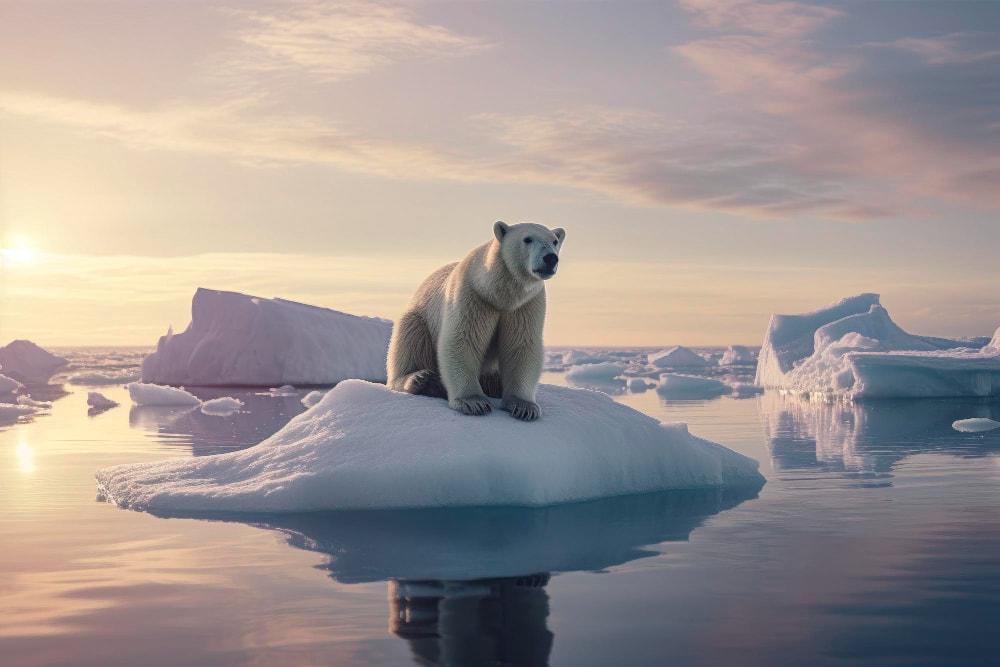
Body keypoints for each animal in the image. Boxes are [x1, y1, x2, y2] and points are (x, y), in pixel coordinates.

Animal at [386, 224, 568, 422]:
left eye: (554, 241)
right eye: (527, 239)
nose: (550, 258)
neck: (498, 294)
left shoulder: (526, 304)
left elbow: (521, 345)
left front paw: (524, 407)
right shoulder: (472, 295)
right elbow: (462, 339)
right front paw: (473, 402)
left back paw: (495, 385)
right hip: (420, 318)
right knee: (410, 338)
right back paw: (421, 379)